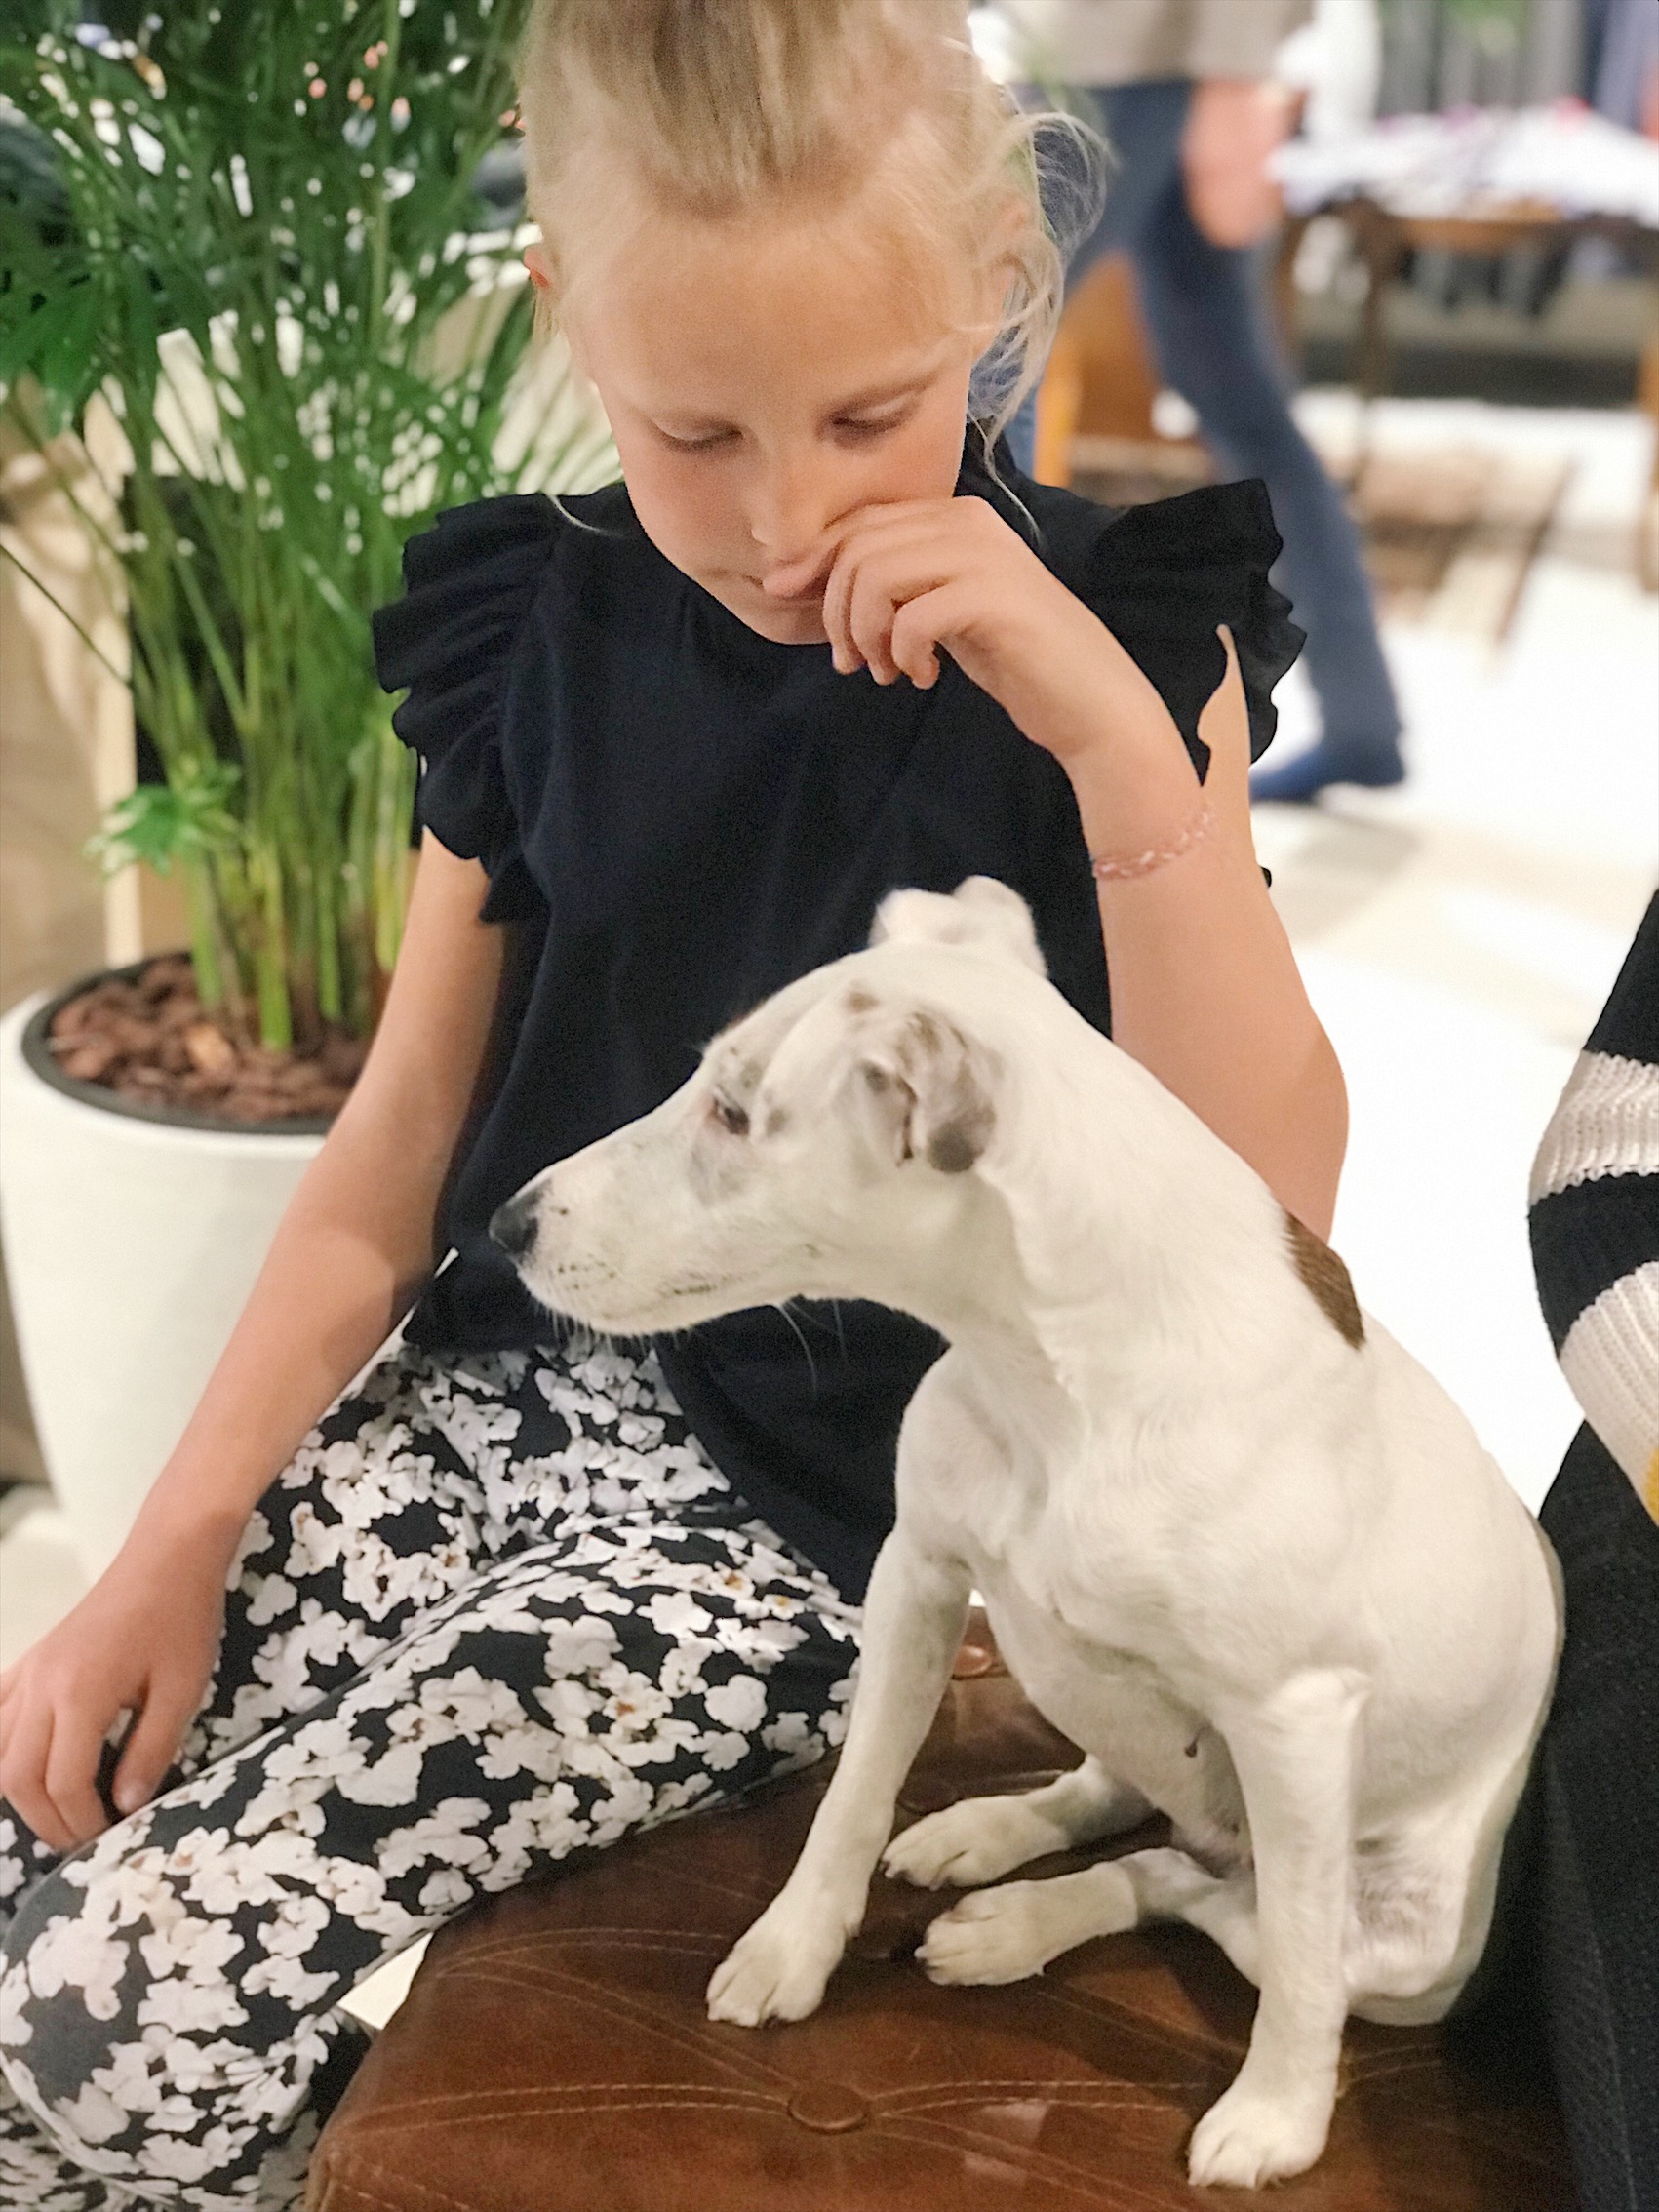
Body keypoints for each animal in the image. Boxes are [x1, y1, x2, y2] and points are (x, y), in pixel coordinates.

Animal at [489, 877, 1562, 2190]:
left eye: (737, 1114)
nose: (507, 1222)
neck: (1052, 1376)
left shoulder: (1297, 1723)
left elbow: (1304, 1975)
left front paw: (1279, 2115)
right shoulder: (917, 1575)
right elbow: (854, 1794)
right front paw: (795, 1946)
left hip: (1408, 1945)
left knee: (1221, 1901)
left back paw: (1024, 1925)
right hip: (1108, 1711)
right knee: (1131, 1819)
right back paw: (994, 1843)